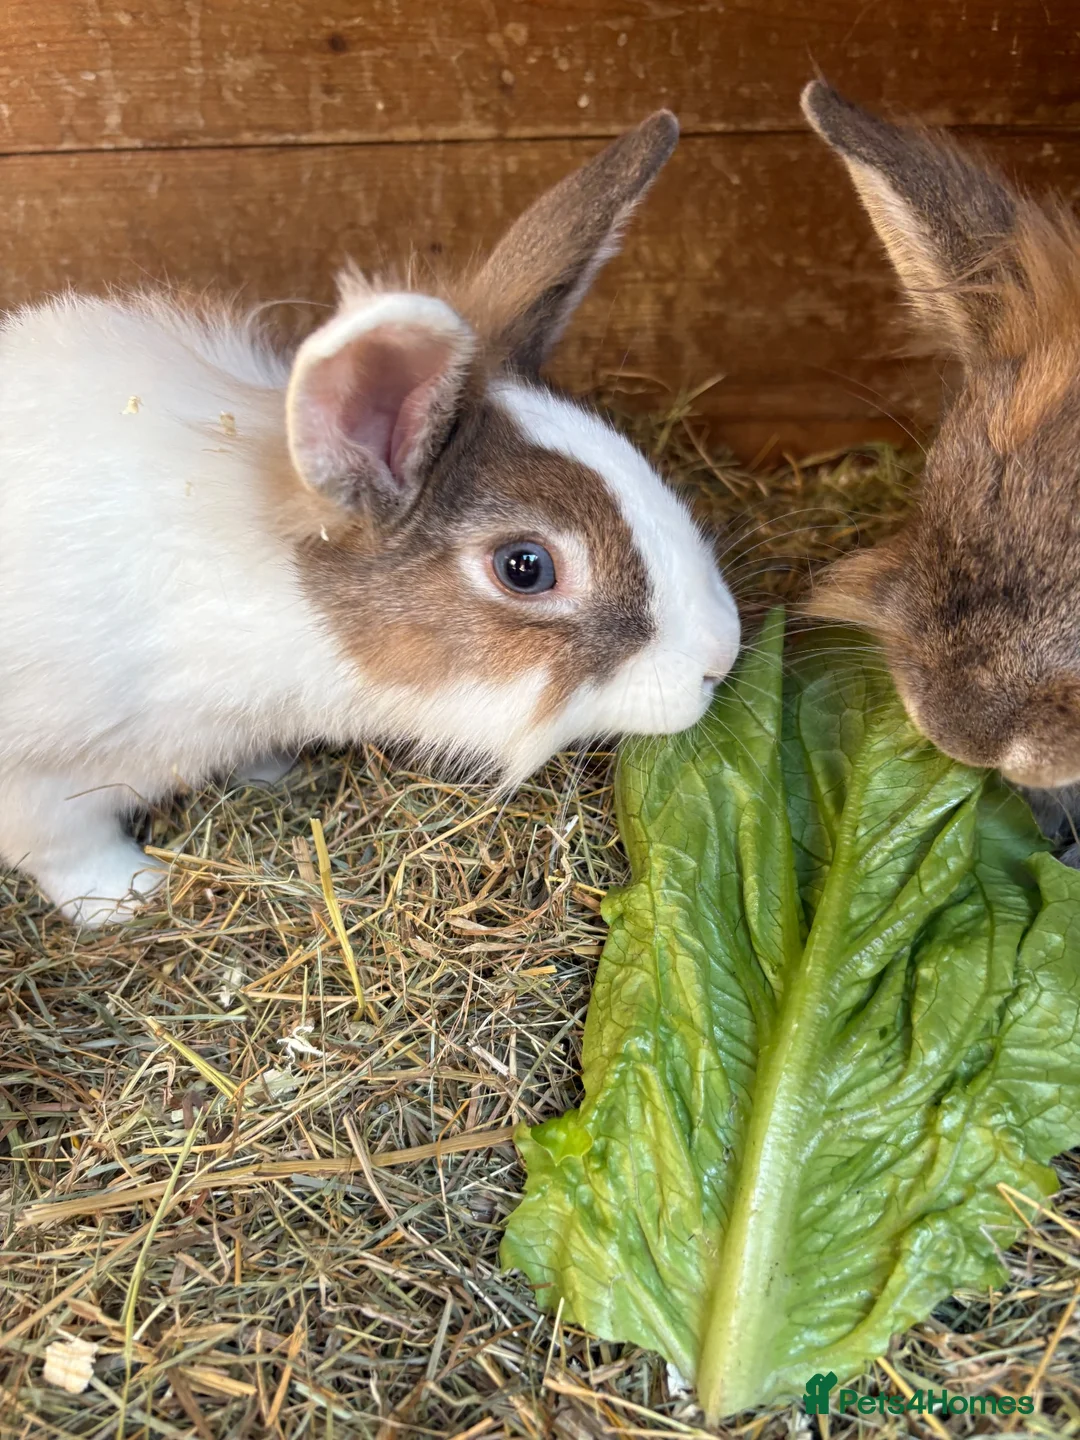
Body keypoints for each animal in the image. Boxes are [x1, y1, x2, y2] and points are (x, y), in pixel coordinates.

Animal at [0, 112, 741, 926]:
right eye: (526, 567)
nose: (721, 655)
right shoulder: (37, 784)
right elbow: (64, 849)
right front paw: (128, 898)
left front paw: (270, 772)